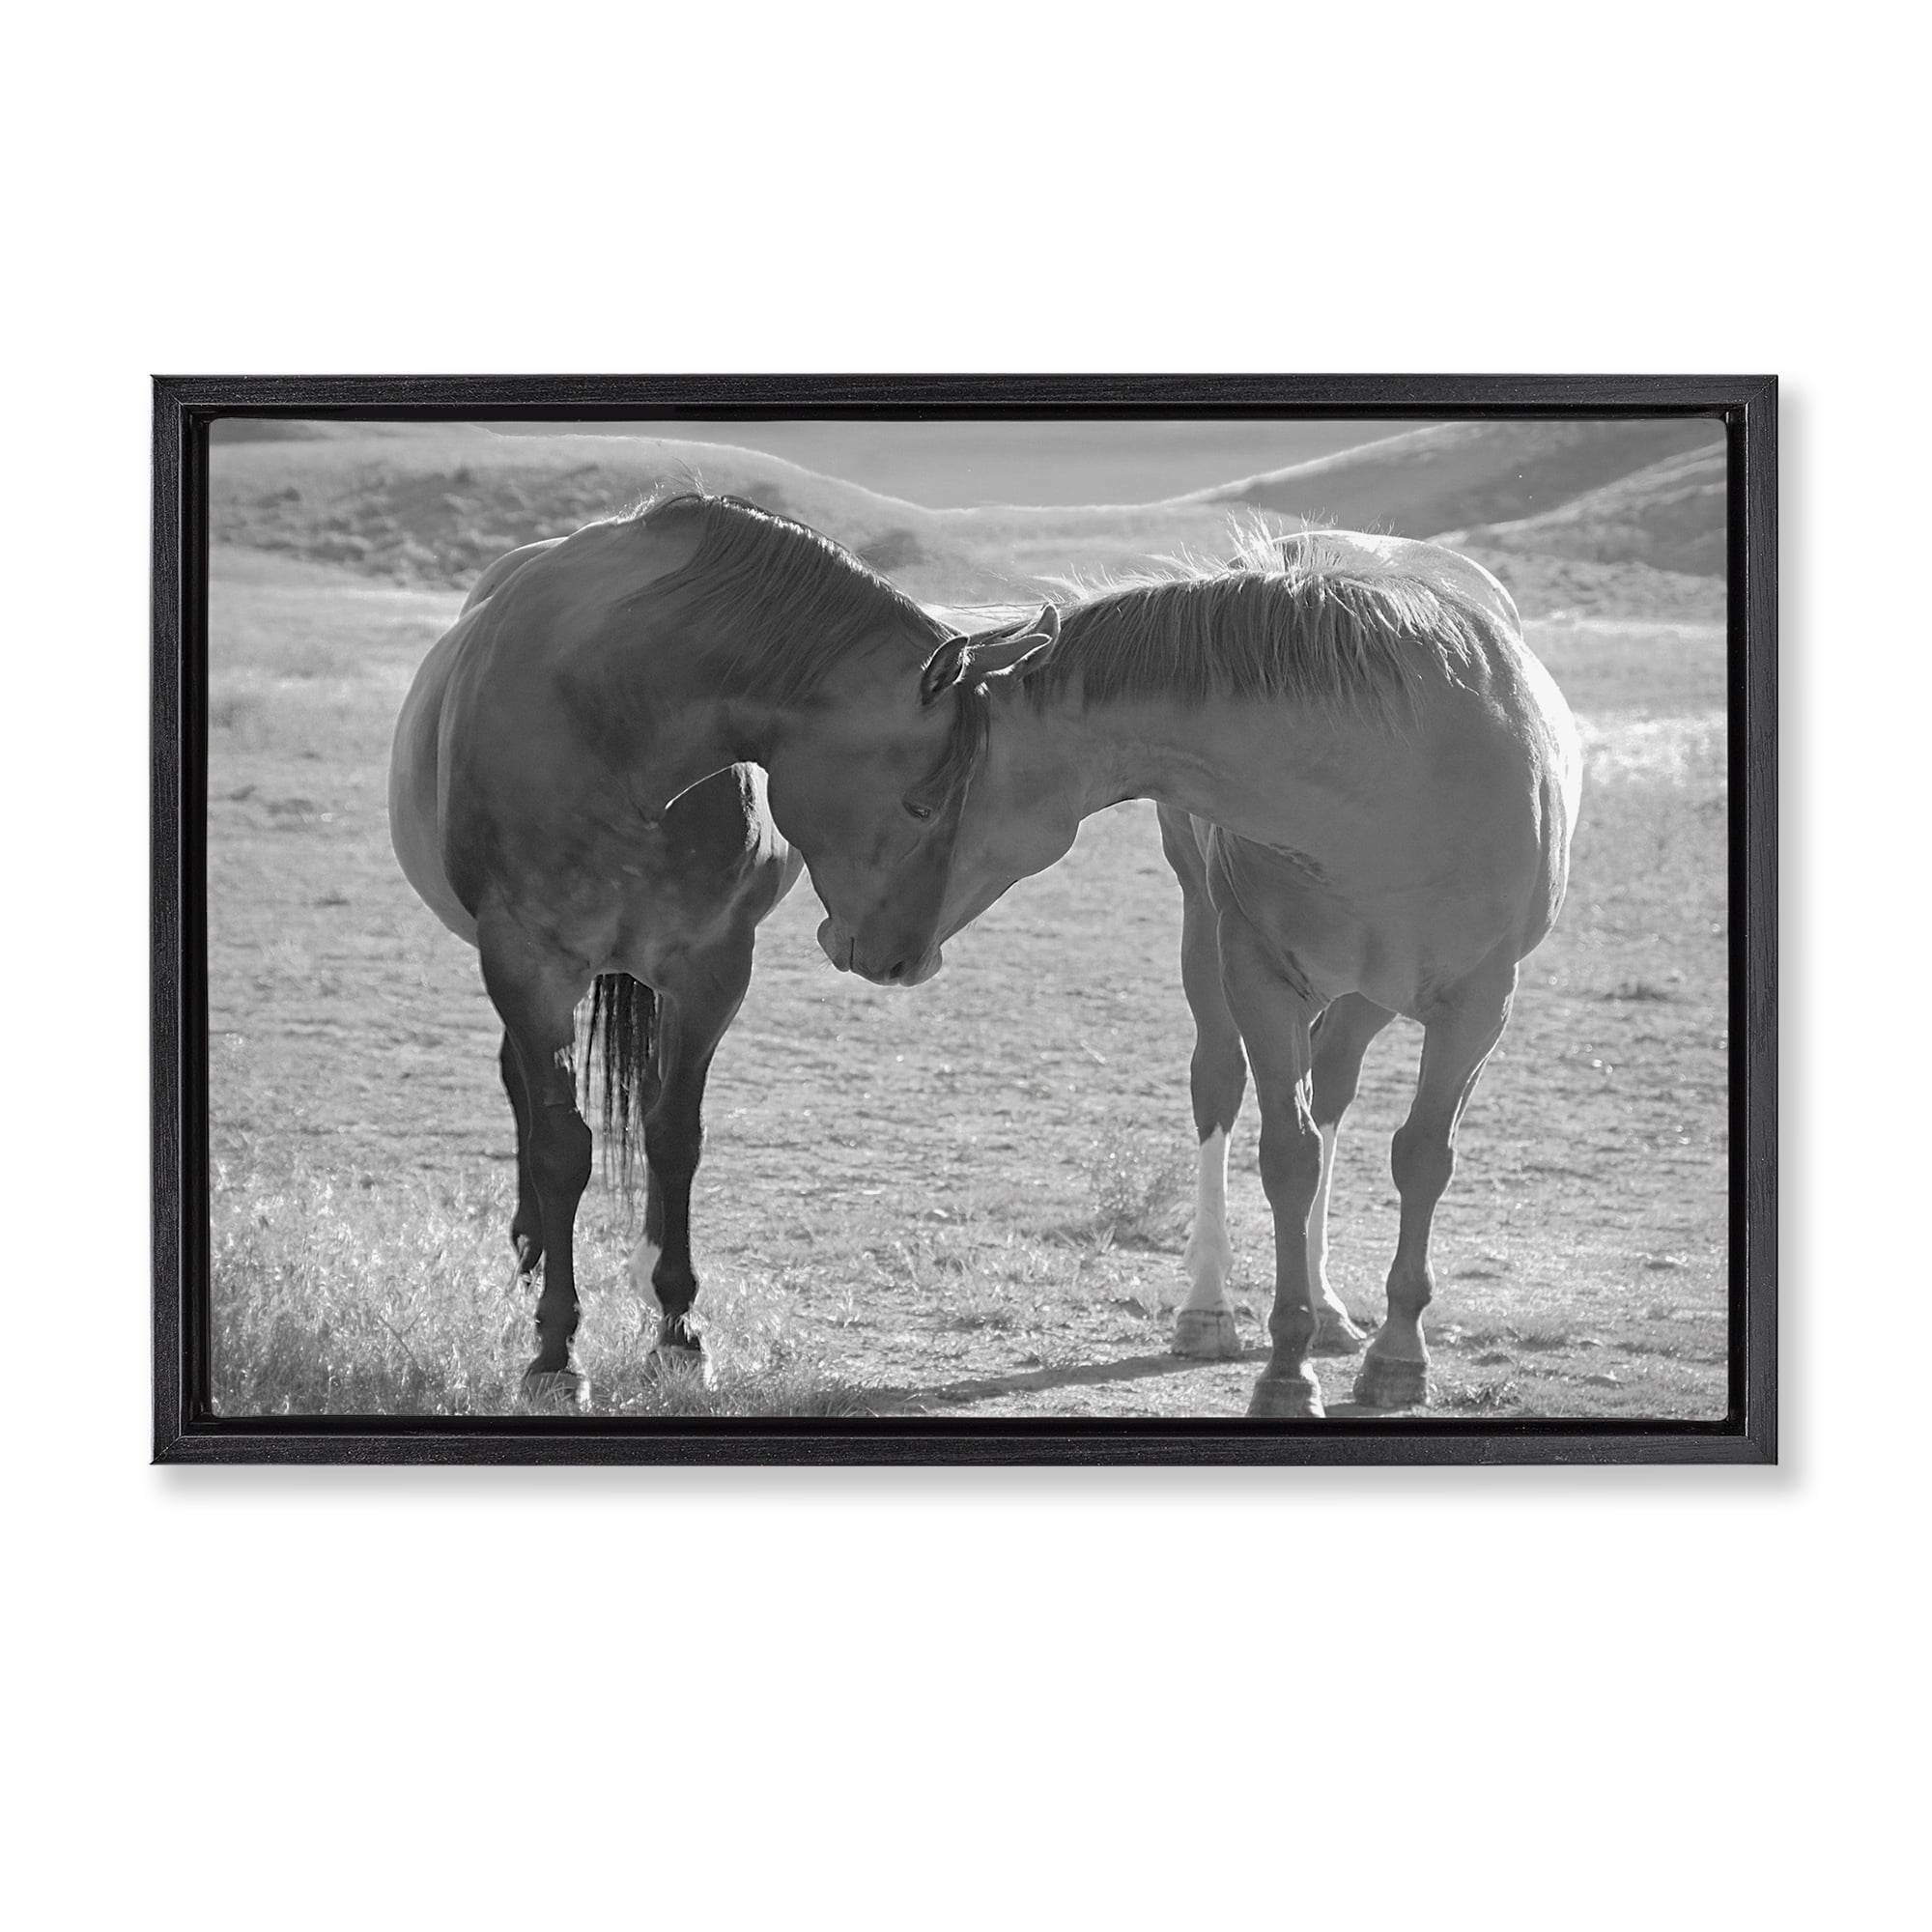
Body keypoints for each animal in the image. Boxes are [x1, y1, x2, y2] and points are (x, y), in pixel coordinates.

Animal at [387, 491, 1040, 1403]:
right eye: (921, 803)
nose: (909, 960)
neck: (613, 720)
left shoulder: (710, 968)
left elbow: (674, 1135)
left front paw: (677, 1329)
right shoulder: (525, 962)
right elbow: (561, 1146)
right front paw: (555, 1352)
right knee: (521, 1086)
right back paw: (531, 1246)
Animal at [825, 525, 1582, 1420]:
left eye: (918, 801)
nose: (849, 942)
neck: (1395, 773)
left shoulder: (1479, 1005)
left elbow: (1422, 1157)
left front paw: (1398, 1357)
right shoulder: (1256, 974)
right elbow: (1287, 1158)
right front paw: (1286, 1370)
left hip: (1369, 994)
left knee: (1334, 1090)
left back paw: (1331, 1309)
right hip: (1209, 939)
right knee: (1220, 1085)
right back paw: (1209, 1309)